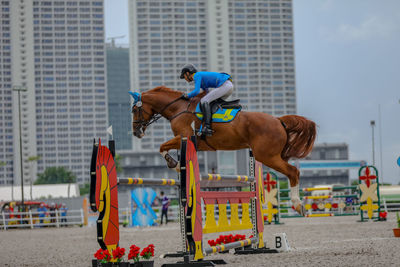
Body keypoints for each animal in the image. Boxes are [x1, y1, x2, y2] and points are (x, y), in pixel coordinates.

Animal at [130, 86, 318, 216]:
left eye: (134, 110)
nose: (136, 132)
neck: (178, 109)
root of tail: (279, 121)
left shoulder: (184, 137)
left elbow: (162, 147)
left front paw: (174, 164)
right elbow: (163, 147)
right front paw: (176, 164)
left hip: (266, 156)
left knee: (293, 172)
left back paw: (298, 205)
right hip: (272, 155)